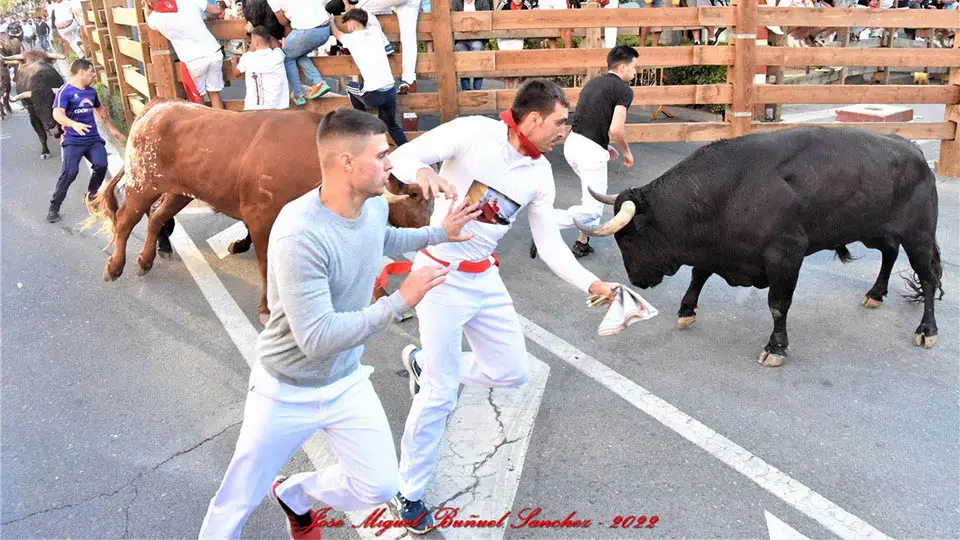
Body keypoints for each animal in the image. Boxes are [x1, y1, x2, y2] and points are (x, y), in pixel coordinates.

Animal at [88, 100, 434, 320]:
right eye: (416, 194)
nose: (428, 229)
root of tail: (157, 106)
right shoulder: (261, 217)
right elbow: (266, 262)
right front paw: (267, 307)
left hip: (178, 191)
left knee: (157, 218)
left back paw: (146, 260)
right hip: (142, 183)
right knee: (125, 220)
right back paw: (115, 267)